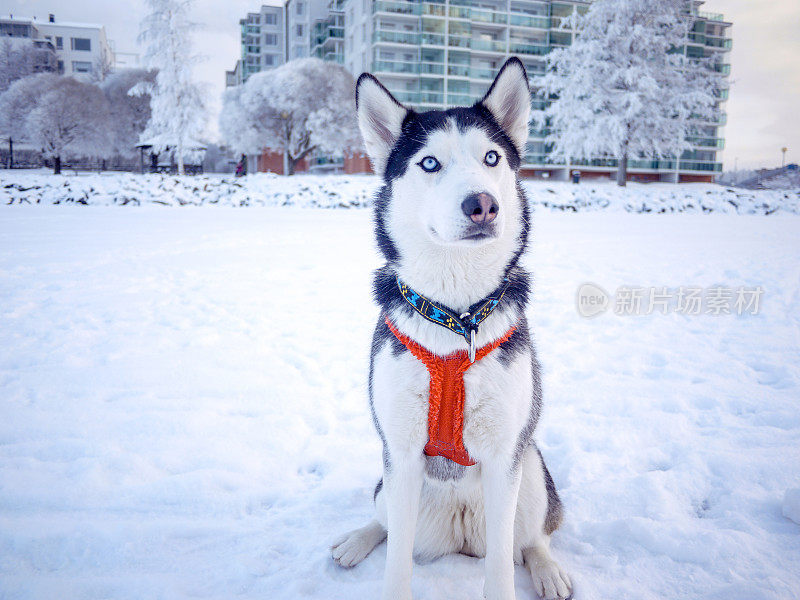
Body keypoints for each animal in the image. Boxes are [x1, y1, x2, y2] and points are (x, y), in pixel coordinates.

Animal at [330, 57, 568, 600]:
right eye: (430, 163)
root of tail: (461, 533)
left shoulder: (504, 455)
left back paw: (548, 570)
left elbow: (501, 567)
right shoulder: (399, 451)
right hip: (394, 489)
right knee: (387, 524)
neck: (456, 318)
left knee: (534, 538)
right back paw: (356, 539)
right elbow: (396, 563)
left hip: (533, 471)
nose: (482, 204)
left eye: (491, 157)